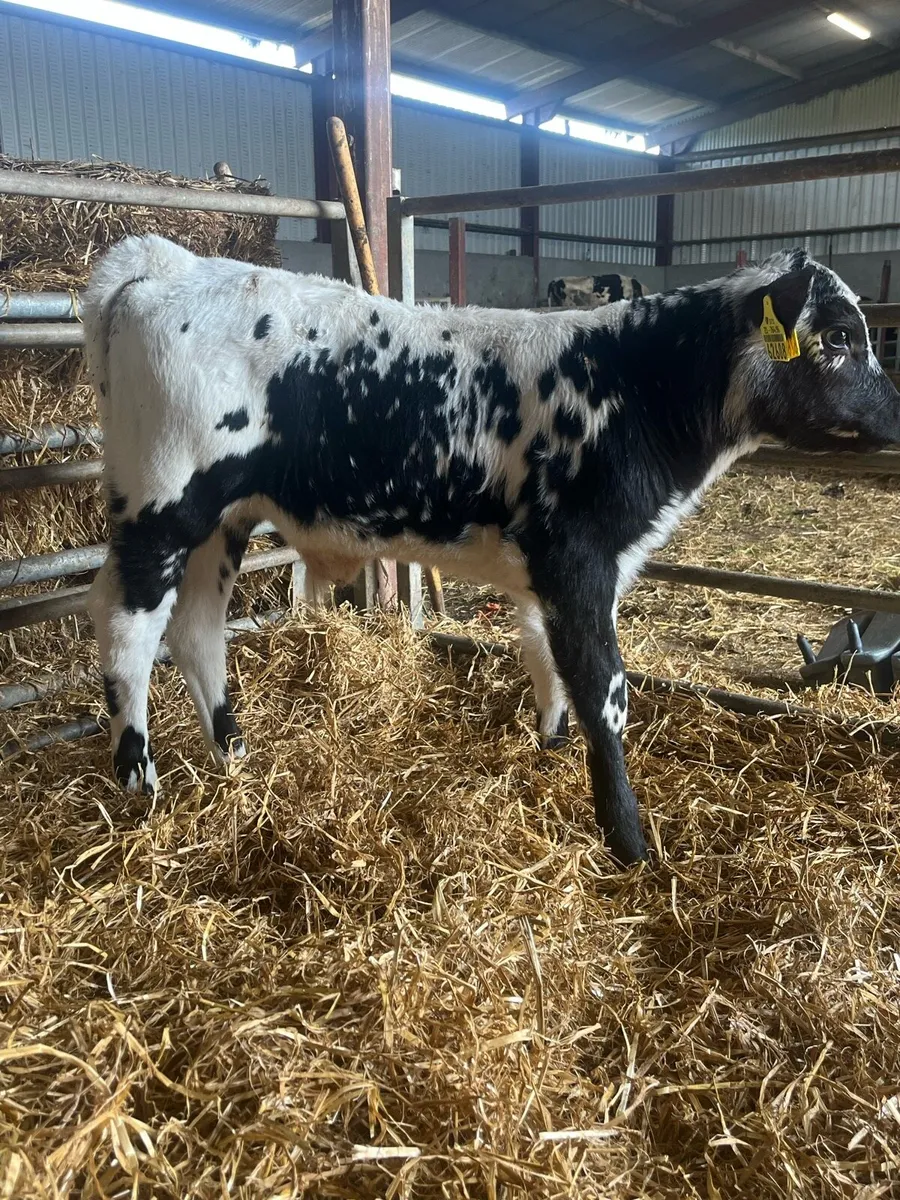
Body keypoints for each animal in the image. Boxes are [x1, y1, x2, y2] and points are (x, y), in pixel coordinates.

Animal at [82, 238, 900, 865]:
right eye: (837, 337)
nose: (897, 414)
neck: (633, 387)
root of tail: (165, 263)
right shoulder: (579, 561)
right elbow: (604, 689)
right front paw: (628, 840)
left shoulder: (549, 572)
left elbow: (544, 659)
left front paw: (549, 748)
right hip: (162, 506)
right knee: (126, 628)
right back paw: (139, 781)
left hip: (225, 519)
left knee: (197, 629)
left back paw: (233, 753)